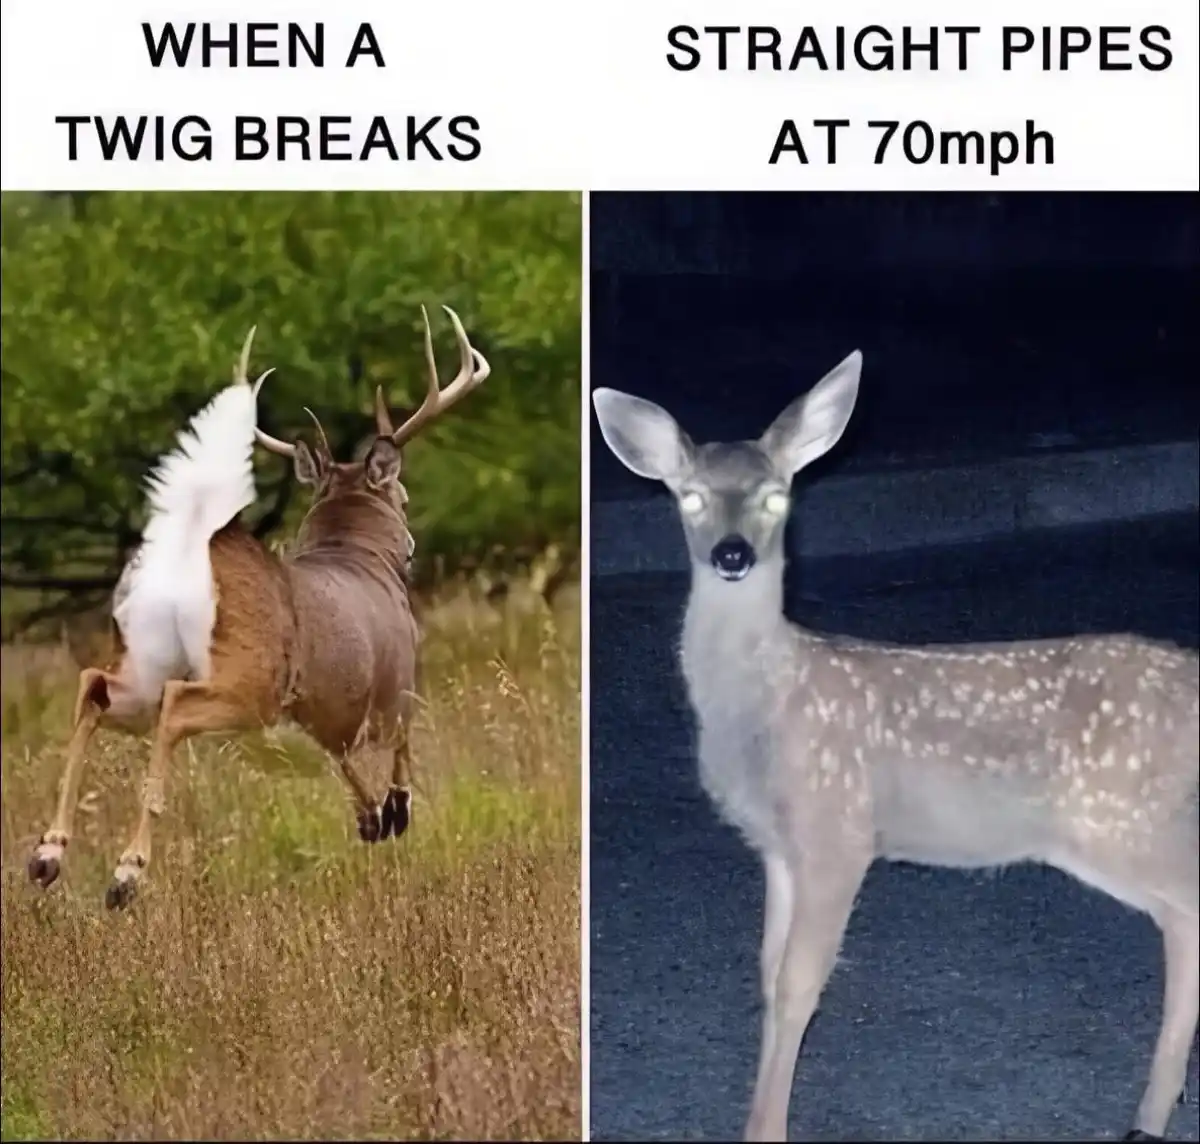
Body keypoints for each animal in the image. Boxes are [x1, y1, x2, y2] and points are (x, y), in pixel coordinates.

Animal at [27, 305, 490, 911]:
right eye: (405, 497)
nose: (411, 546)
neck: (356, 553)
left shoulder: (325, 708)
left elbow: (339, 756)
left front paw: (370, 819)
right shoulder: (398, 684)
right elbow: (399, 751)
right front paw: (396, 810)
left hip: (146, 655)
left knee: (94, 686)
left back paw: (48, 853)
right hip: (250, 676)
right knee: (175, 706)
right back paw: (126, 873)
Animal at [592, 351, 1199, 1143]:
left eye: (777, 499)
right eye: (689, 498)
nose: (732, 554)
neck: (765, 703)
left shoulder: (839, 829)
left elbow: (800, 985)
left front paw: (768, 1129)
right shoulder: (780, 849)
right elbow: (768, 975)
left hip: (1118, 816)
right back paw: (1151, 1111)